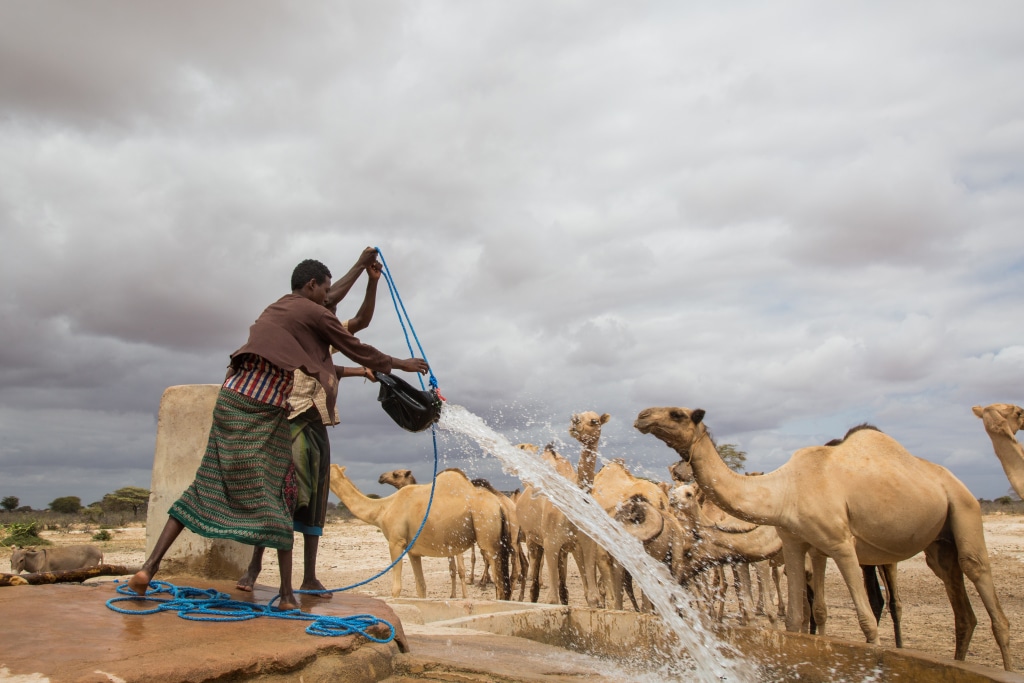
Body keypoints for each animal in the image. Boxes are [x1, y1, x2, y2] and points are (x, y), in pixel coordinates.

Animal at [329, 462, 509, 602]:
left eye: (396, 474)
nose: (380, 477)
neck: (382, 509)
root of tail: (499, 505)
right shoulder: (413, 551)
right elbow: (421, 588)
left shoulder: (396, 542)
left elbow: (396, 589)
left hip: (487, 538)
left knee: (499, 583)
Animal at [634, 409, 1011, 671]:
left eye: (677, 414)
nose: (642, 416)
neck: (781, 492)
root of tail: (954, 482)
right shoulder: (803, 547)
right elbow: (809, 615)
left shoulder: (837, 545)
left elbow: (858, 618)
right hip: (938, 544)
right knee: (960, 607)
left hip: (963, 510)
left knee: (973, 581)